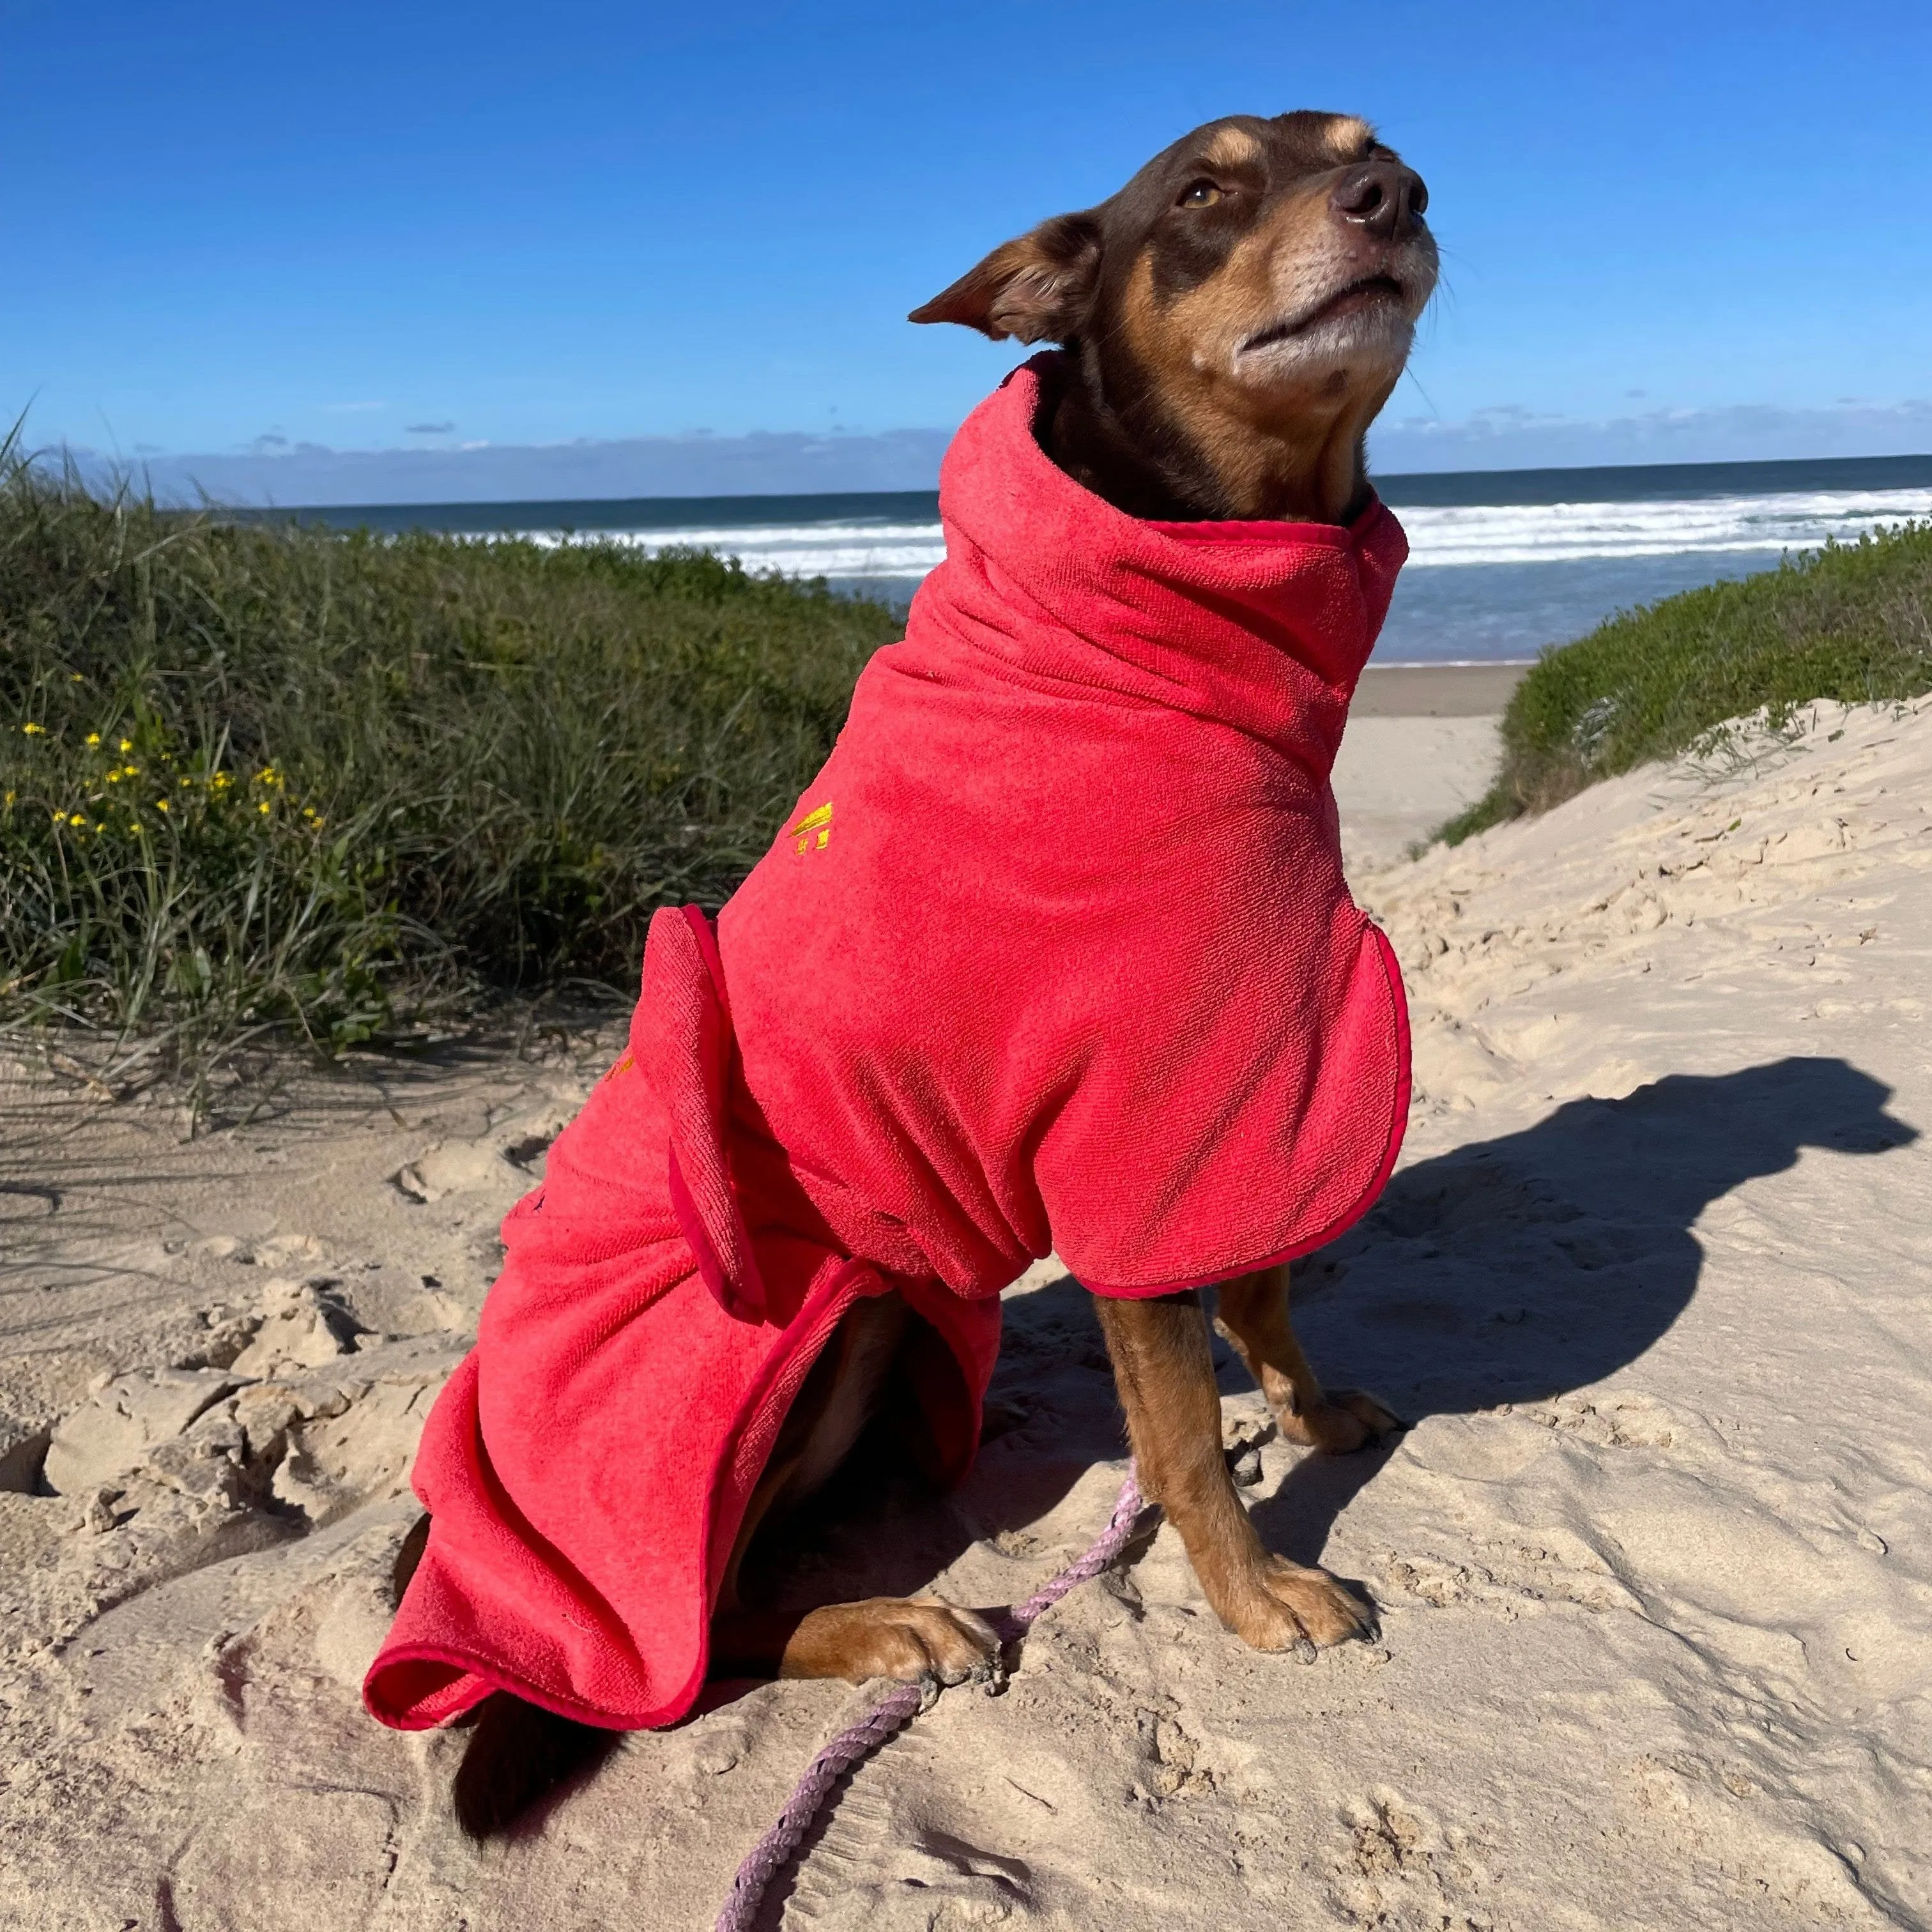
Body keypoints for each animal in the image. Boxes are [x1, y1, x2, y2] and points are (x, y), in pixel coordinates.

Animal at [380, 109, 1437, 1839]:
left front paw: (1307, 1407)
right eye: (1203, 191)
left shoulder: (1238, 1072)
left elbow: (1266, 1282)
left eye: (1376, 147)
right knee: (701, 1634)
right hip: (813, 1322)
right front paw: (1254, 1587)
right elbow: (1181, 1435)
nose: (1394, 199)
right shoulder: (1134, 1125)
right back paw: (889, 1621)